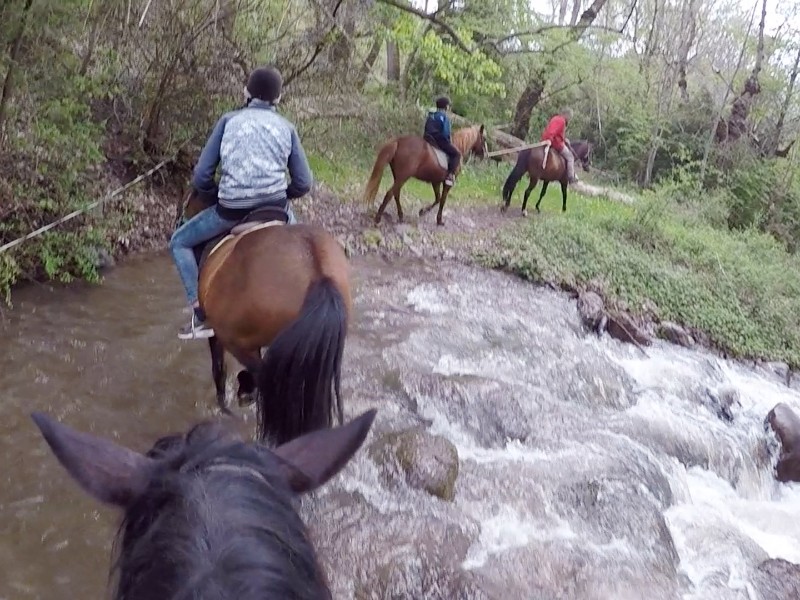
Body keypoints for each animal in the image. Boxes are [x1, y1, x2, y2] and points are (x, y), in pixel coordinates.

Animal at [178, 192, 354, 446]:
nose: (181, 218)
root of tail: (317, 272)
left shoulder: (220, 335)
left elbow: (219, 371)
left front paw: (229, 404)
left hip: (237, 341)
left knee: (266, 380)